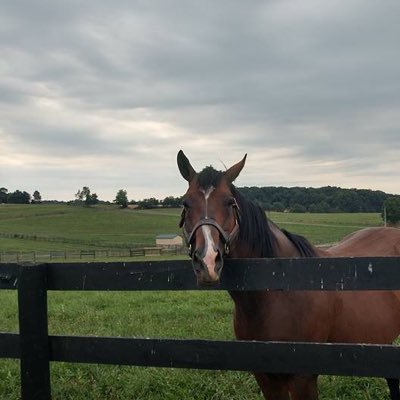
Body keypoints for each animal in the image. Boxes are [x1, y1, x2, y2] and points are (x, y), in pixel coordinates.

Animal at [178, 150, 400, 400]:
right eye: (186, 203)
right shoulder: (266, 377)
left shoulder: (304, 377)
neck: (280, 291)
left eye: (229, 202)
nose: (207, 261)